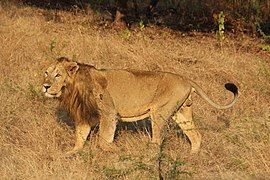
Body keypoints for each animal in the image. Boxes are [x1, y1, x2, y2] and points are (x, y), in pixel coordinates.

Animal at [42, 57, 238, 154]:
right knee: (196, 136)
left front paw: (117, 150)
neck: (72, 89)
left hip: (159, 112)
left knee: (158, 140)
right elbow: (80, 136)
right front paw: (70, 153)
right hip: (182, 112)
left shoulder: (108, 112)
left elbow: (103, 139)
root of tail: (186, 79)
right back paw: (191, 157)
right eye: (46, 73)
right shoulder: (84, 115)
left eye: (57, 75)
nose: (45, 86)